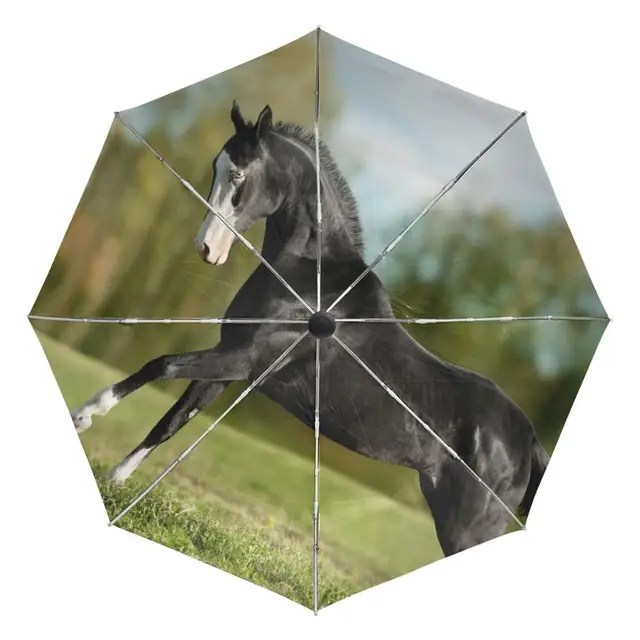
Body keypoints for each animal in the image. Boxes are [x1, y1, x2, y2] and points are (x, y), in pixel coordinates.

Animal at [71, 101, 550, 557]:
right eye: (214, 167)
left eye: (238, 173)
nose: (206, 248)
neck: (307, 278)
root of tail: (528, 442)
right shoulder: (229, 366)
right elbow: (172, 421)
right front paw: (116, 478)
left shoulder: (241, 360)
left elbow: (162, 365)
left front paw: (86, 414)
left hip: (466, 529)